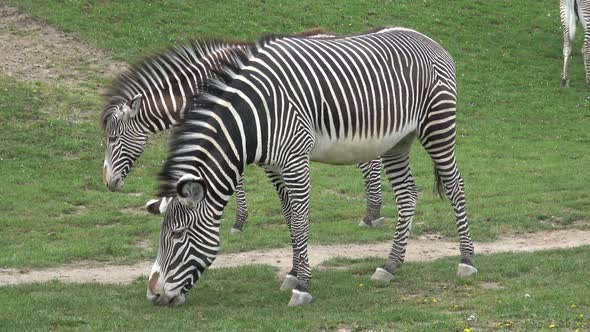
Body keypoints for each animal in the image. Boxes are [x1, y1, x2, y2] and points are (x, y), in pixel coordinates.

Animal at [146, 27, 478, 308]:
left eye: (177, 234)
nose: (153, 294)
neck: (254, 116)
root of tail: (429, 39)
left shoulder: (295, 160)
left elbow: (300, 221)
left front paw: (303, 287)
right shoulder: (276, 166)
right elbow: (290, 219)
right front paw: (293, 273)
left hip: (437, 125)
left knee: (455, 186)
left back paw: (466, 261)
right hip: (398, 141)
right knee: (407, 195)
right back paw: (389, 266)